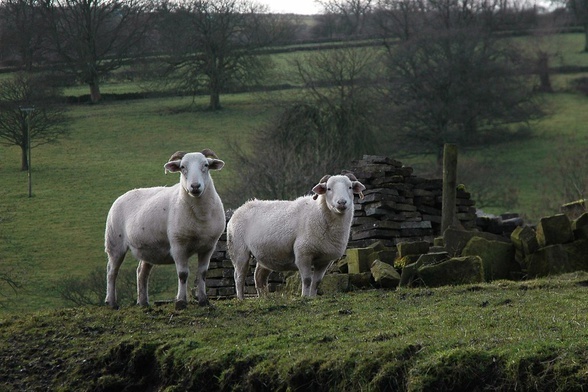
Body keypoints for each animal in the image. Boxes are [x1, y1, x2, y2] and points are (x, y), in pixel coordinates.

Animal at [105, 149, 225, 310]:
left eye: (206, 165)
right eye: (182, 167)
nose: (195, 186)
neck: (200, 216)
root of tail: (123, 196)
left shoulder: (208, 247)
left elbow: (203, 273)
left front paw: (204, 301)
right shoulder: (178, 245)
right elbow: (183, 274)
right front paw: (181, 302)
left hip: (148, 248)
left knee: (141, 272)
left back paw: (143, 303)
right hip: (114, 244)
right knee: (112, 272)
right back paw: (112, 303)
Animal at [227, 173, 366, 298]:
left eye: (350, 187)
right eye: (329, 188)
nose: (341, 202)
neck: (318, 212)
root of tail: (240, 208)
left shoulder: (324, 260)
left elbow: (317, 282)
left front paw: (313, 298)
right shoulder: (303, 254)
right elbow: (307, 280)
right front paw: (304, 297)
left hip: (264, 254)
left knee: (259, 277)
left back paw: (264, 298)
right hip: (239, 251)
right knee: (239, 277)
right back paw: (241, 299)